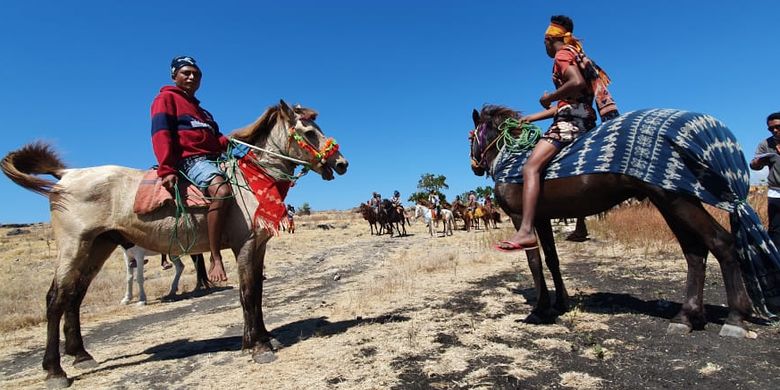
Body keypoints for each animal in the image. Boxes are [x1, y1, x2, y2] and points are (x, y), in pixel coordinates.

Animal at [0, 100, 348, 386]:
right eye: (308, 132)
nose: (342, 163)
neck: (252, 180)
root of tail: (66, 174)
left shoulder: (257, 247)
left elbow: (256, 293)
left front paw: (258, 338)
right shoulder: (246, 245)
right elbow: (249, 293)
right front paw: (259, 346)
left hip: (98, 247)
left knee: (74, 296)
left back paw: (81, 355)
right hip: (74, 246)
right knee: (56, 299)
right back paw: (55, 371)